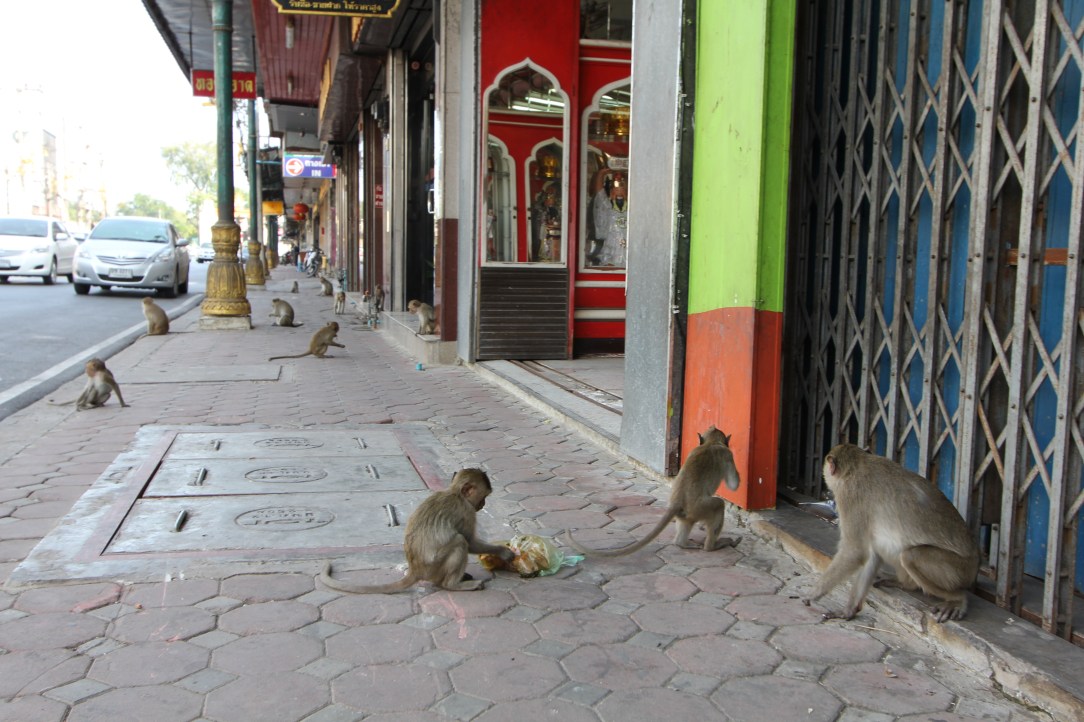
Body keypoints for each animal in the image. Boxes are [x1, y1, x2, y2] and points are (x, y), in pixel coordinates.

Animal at [320, 468, 516, 593]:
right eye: (484, 496)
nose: (483, 504)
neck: (454, 493)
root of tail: (416, 570)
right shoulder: (467, 511)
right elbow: (470, 542)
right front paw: (503, 552)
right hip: (433, 567)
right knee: (459, 541)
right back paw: (453, 584)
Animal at [565, 426, 742, 556]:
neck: (710, 443)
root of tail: (676, 503)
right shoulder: (727, 455)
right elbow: (734, 485)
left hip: (687, 513)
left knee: (687, 522)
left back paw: (682, 544)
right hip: (699, 508)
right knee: (718, 505)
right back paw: (713, 546)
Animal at [801, 443, 980, 623]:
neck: (856, 466)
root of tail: (976, 562)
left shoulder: (849, 497)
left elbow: (855, 552)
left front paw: (813, 593)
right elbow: (870, 553)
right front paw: (849, 610)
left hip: (960, 570)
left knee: (910, 556)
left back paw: (957, 599)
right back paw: (906, 584)